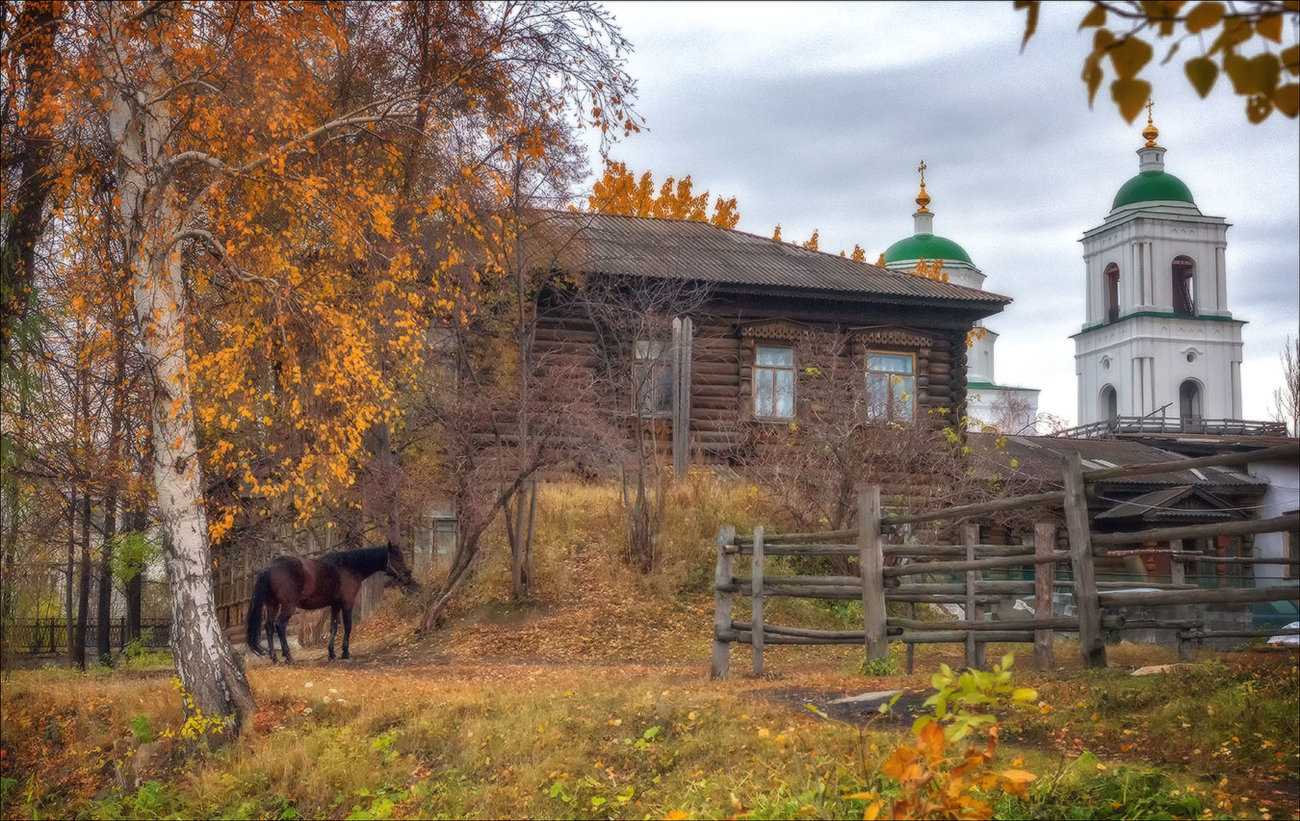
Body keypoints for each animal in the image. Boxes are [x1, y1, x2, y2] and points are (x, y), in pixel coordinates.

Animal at [245, 543, 413, 665]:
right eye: (397, 558)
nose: (407, 578)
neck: (348, 567)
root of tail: (269, 567)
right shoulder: (347, 603)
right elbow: (348, 626)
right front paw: (345, 653)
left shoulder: (335, 605)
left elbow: (333, 627)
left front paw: (331, 653)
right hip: (287, 606)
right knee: (279, 626)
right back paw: (288, 657)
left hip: (272, 604)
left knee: (268, 627)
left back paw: (274, 657)